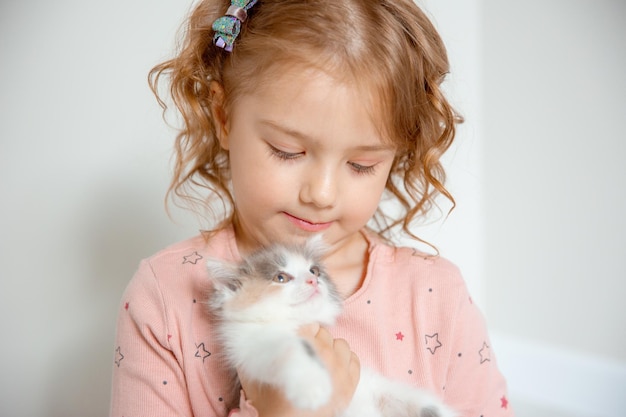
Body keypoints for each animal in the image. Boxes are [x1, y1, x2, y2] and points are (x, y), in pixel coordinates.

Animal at [207, 237, 456, 416]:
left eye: (314, 271)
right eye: (281, 278)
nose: (313, 281)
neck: (293, 323)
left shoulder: (373, 384)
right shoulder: (250, 349)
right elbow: (292, 349)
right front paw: (311, 386)